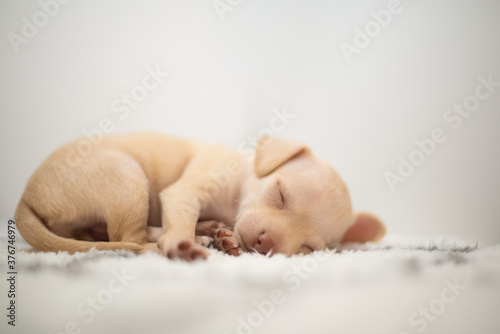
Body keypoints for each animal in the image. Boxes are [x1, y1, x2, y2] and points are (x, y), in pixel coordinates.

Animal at [12, 133, 386, 260]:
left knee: (105, 234)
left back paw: (213, 234)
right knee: (129, 238)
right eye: (280, 195)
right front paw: (181, 240)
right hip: (126, 174)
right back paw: (181, 242)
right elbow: (180, 215)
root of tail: (24, 198)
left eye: (308, 248)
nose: (264, 242)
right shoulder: (185, 191)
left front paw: (224, 237)